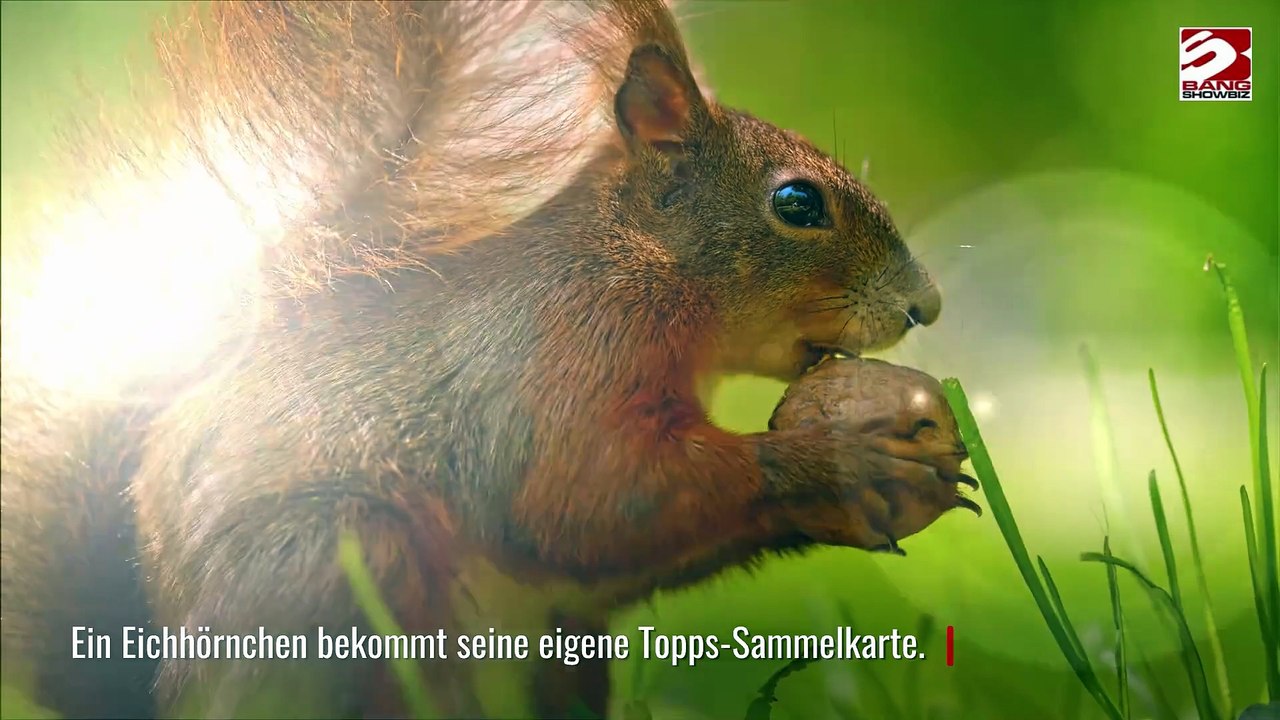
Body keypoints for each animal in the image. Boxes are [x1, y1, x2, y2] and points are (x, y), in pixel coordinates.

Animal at [0, 1, 973, 718]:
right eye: (797, 204)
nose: (926, 305)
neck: (636, 263)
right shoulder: (557, 353)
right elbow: (581, 495)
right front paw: (843, 461)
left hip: (561, 647)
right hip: (330, 567)